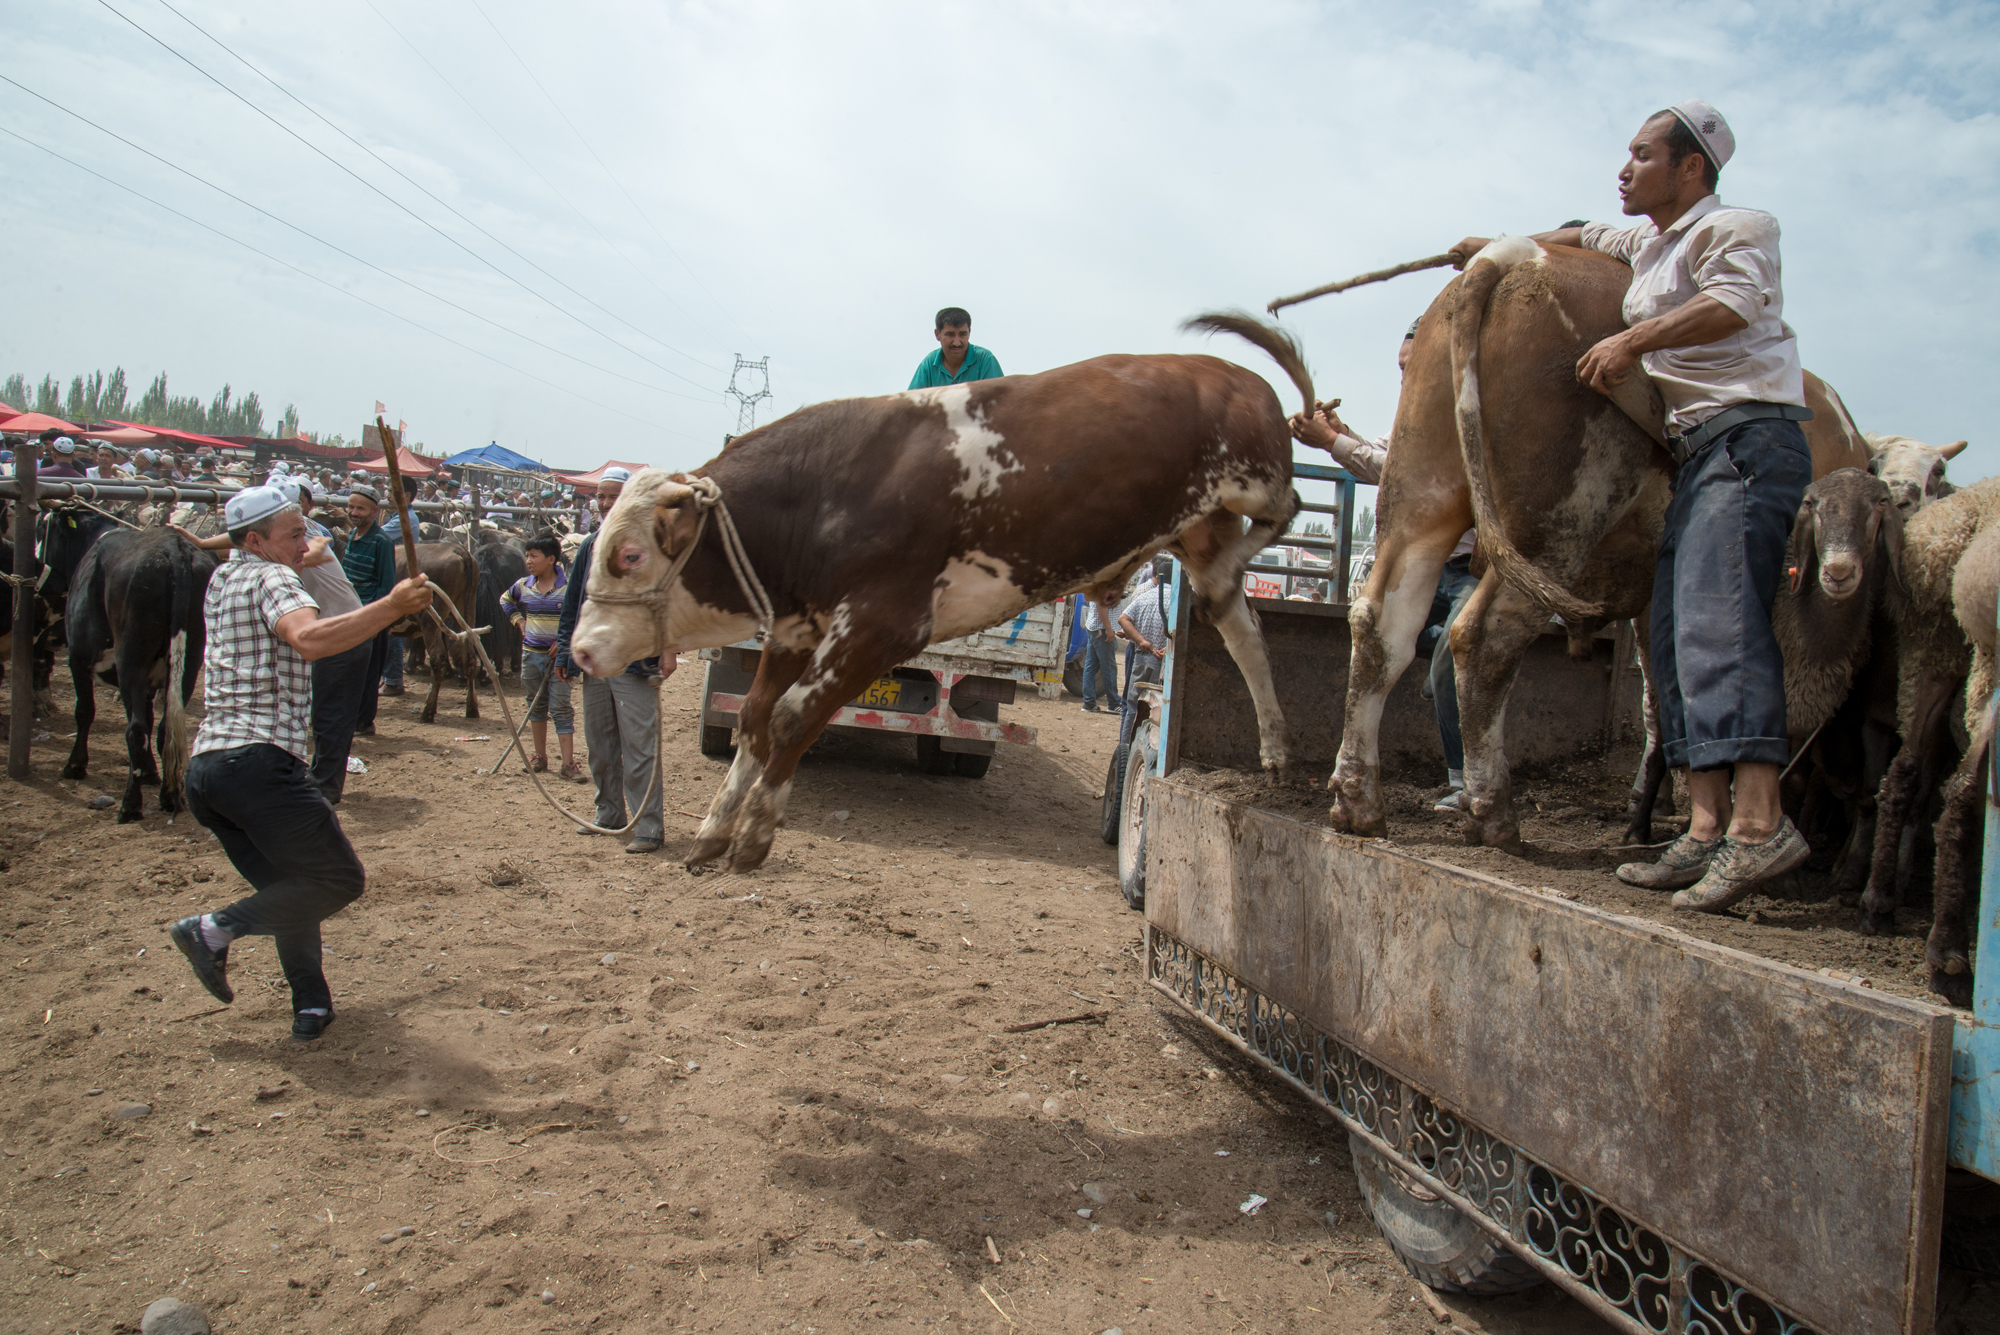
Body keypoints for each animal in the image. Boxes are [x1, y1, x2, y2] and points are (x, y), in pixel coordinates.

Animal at [63, 531, 220, 823]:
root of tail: (174, 547)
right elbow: (148, 718)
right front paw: (150, 773)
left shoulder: (78, 657)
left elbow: (84, 711)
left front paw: (75, 764)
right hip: (189, 661)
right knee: (164, 729)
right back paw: (169, 796)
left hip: (131, 660)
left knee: (135, 730)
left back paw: (130, 805)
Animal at [568, 327, 1312, 875]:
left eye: (628, 555)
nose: (578, 648)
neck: (828, 490)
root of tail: (1240, 377)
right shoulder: (798, 626)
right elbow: (753, 717)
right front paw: (715, 829)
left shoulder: (882, 626)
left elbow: (791, 718)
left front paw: (754, 834)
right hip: (1200, 532)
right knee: (1242, 626)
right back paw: (1276, 746)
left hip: (1252, 476)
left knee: (1291, 507)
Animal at [1856, 473, 2000, 1007]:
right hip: (1957, 652)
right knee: (1958, 788)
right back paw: (1946, 953)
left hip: (1944, 651)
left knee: (1911, 773)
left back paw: (1881, 904)